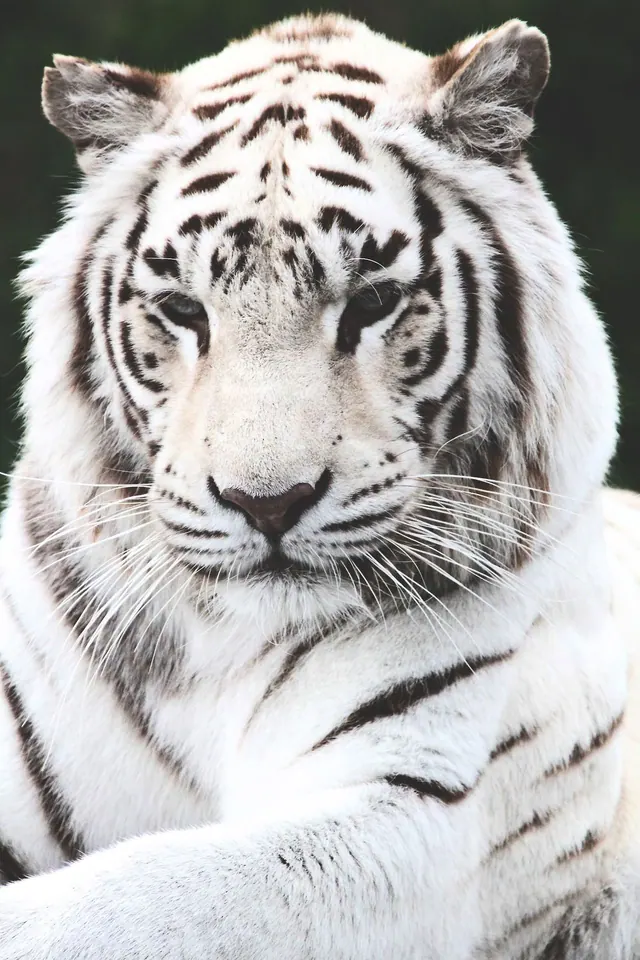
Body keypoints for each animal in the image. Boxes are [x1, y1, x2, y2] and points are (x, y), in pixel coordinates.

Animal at [0, 10, 639, 959]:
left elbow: (130, 900)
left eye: (372, 302)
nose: (267, 503)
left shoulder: (415, 813)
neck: (218, 649)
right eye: (183, 310)